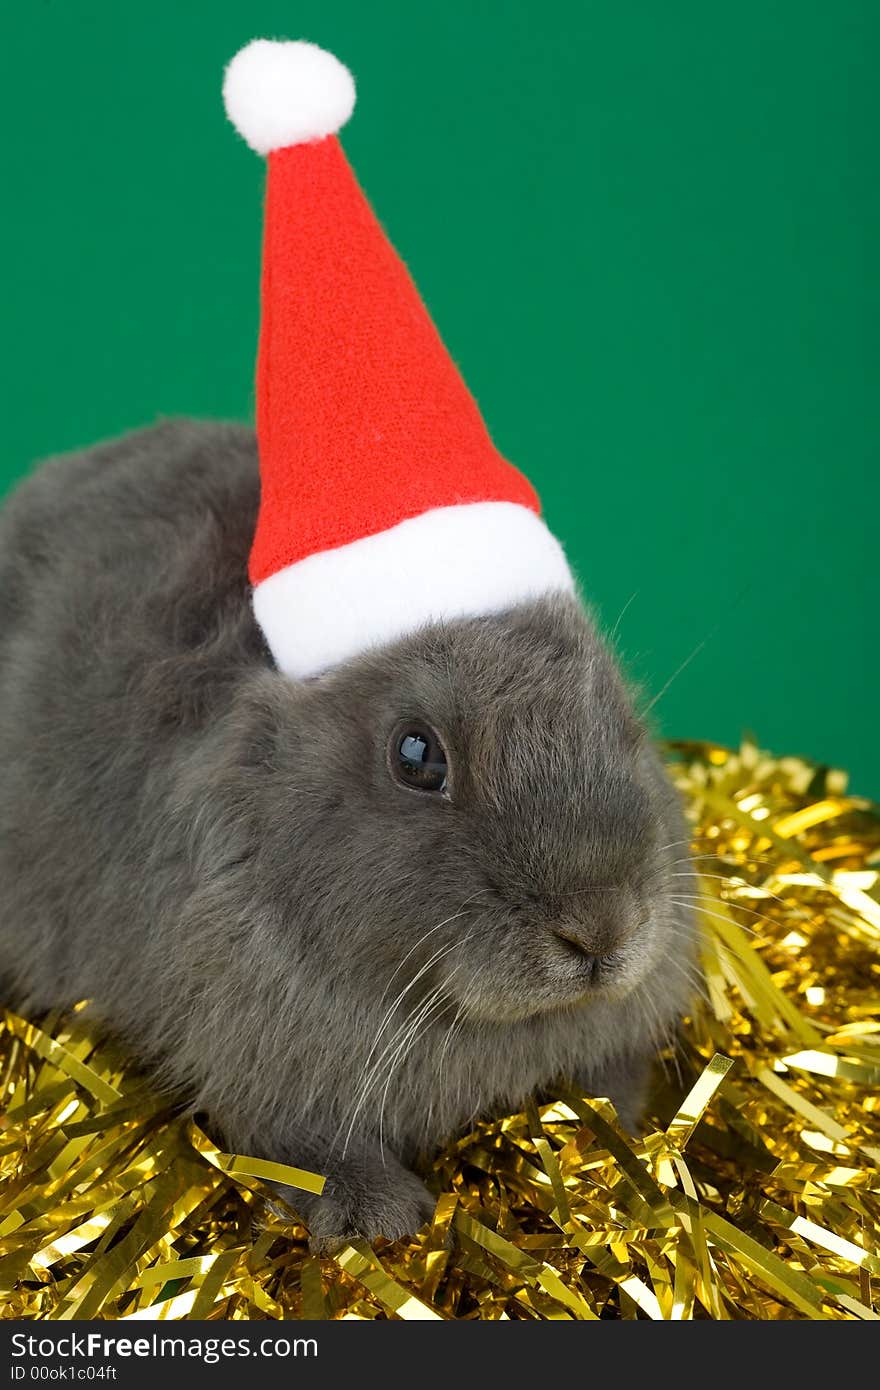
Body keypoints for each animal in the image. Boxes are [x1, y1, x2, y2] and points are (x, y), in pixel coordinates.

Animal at [1, 419, 700, 1251]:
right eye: (416, 754)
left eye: (621, 721)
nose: (602, 929)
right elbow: (298, 1143)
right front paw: (377, 1217)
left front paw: (613, 1146)